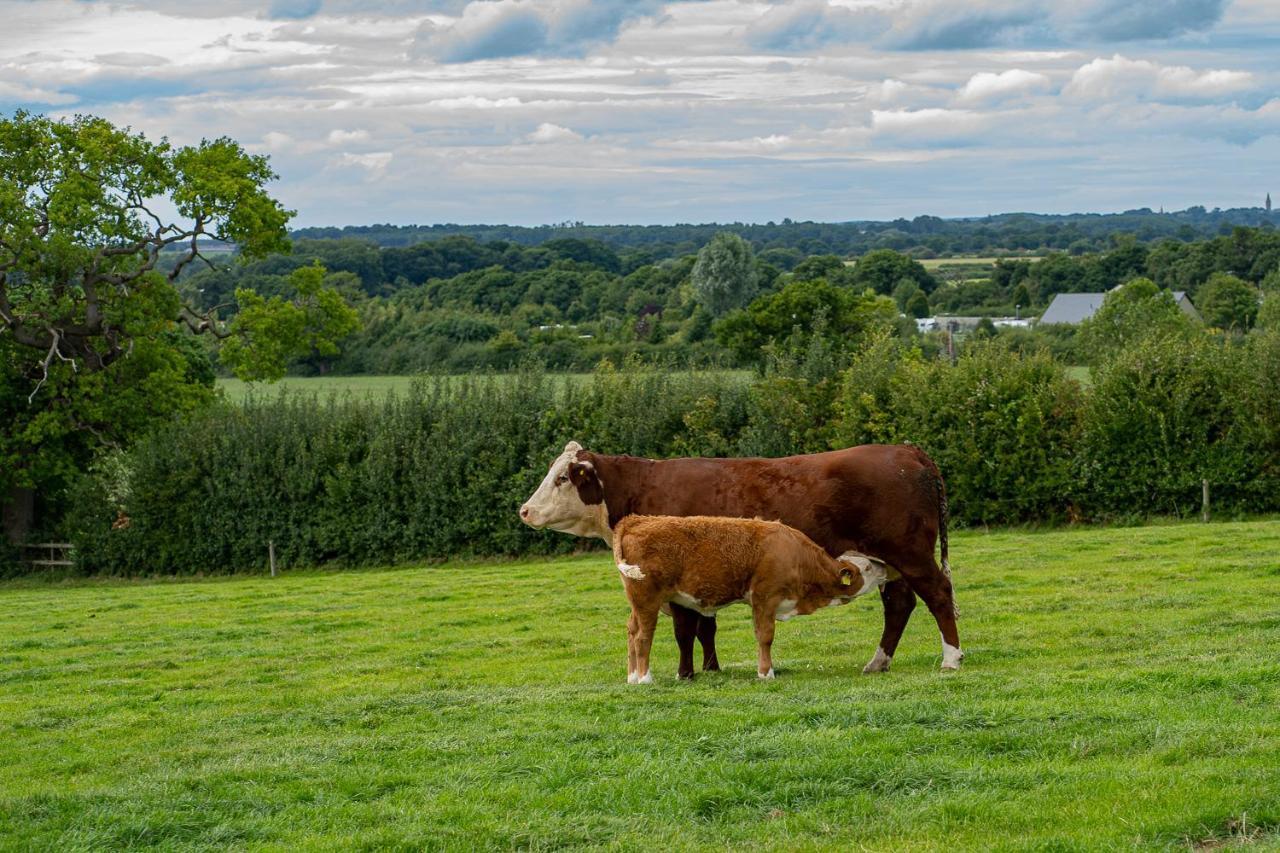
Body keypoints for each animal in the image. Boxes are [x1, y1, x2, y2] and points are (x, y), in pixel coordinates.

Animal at [609, 512, 890, 686]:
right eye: (867, 568)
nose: (885, 568)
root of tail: (635, 520)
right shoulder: (765, 597)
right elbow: (765, 636)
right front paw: (766, 673)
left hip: (636, 602)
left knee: (631, 631)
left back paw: (632, 677)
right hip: (648, 599)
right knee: (643, 636)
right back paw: (645, 679)